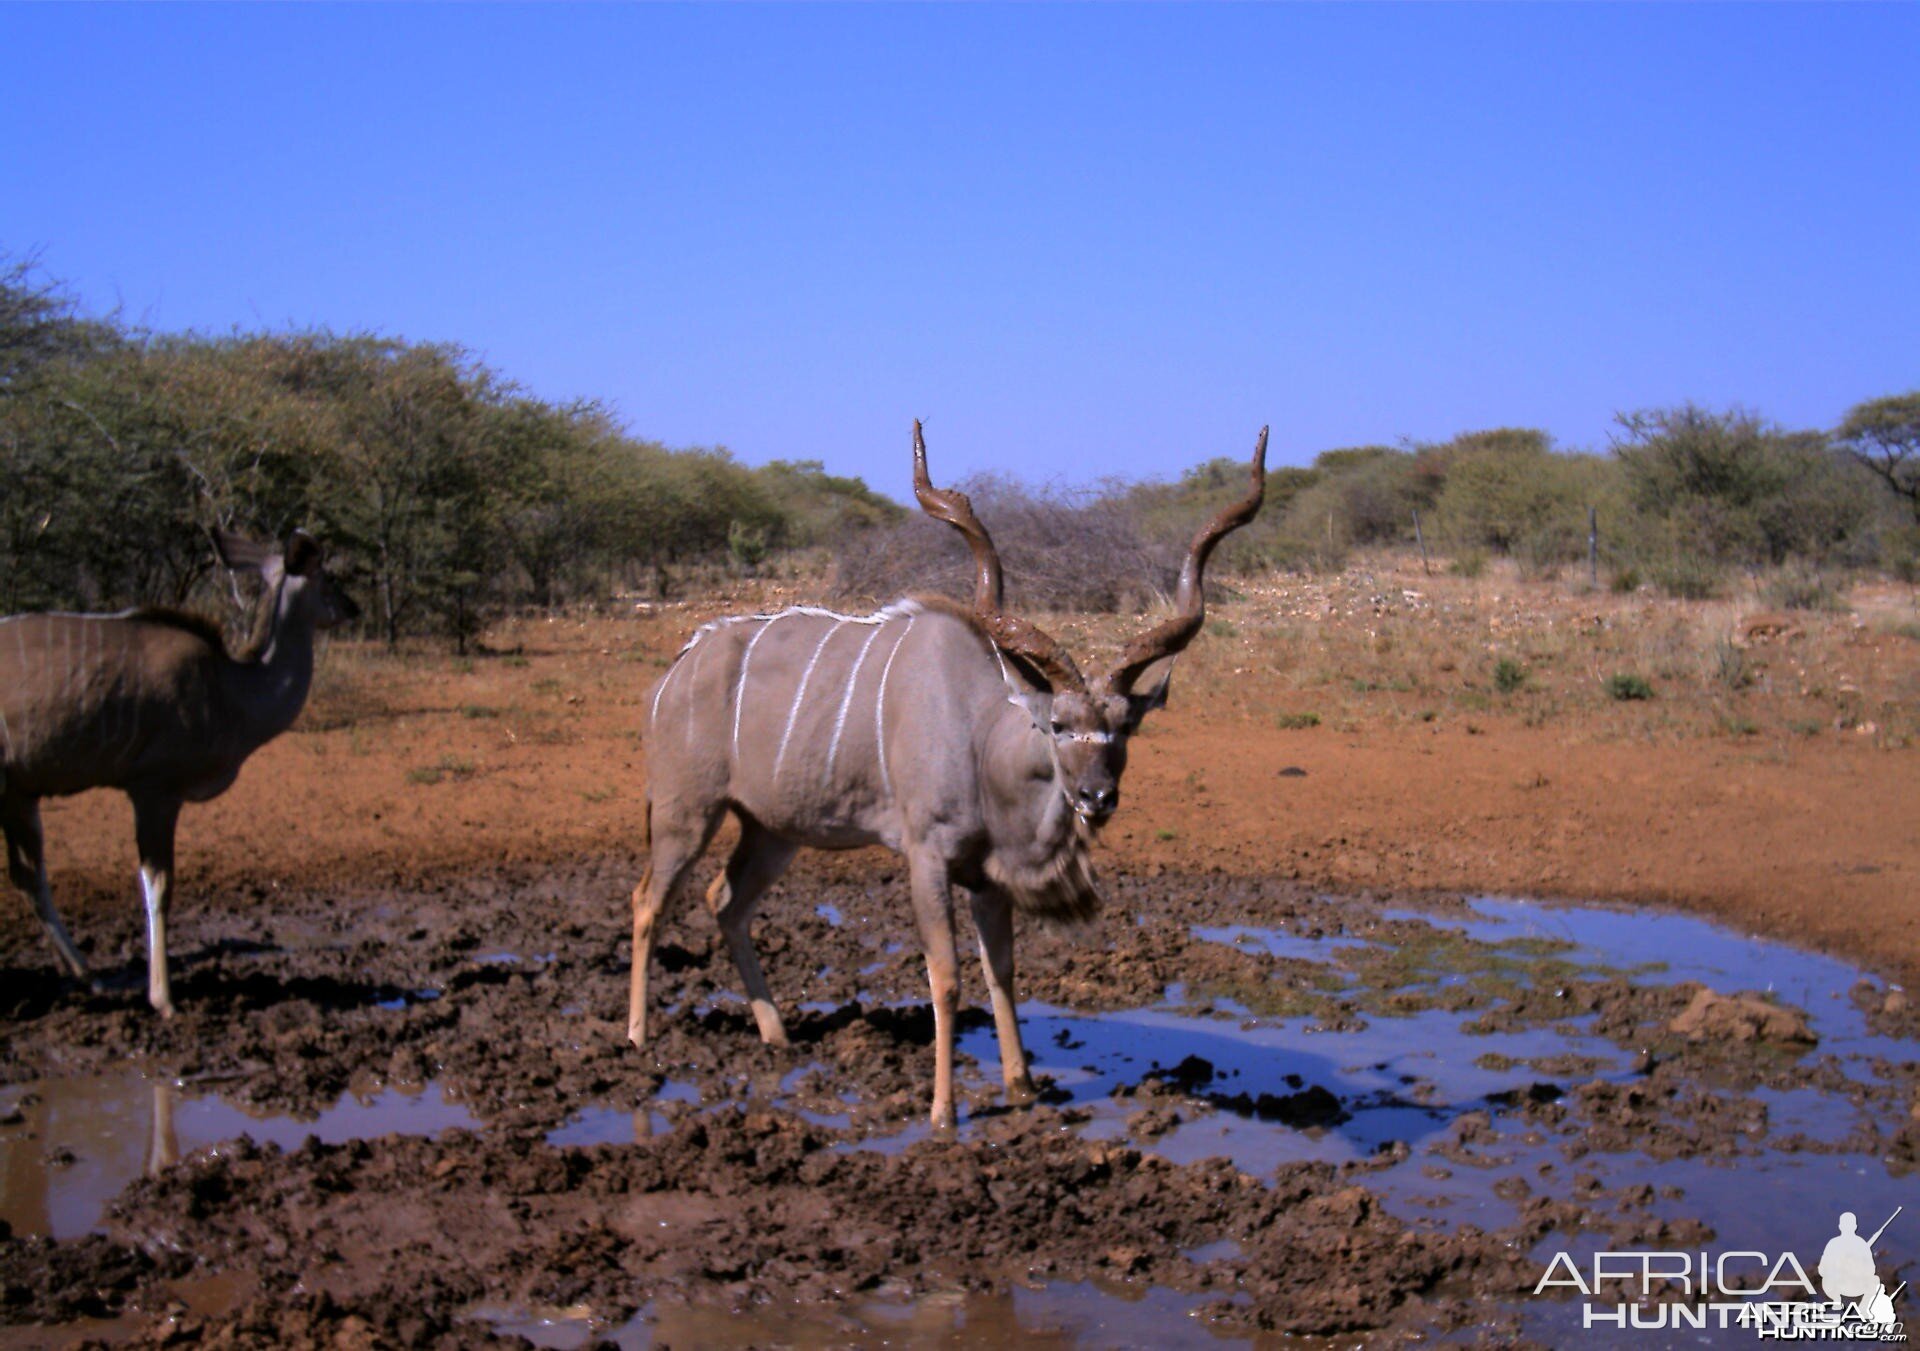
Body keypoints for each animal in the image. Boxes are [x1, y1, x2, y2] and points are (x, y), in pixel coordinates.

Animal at [0, 529, 357, 1013]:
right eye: (328, 578)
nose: (353, 607)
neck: (230, 688)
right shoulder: (155, 790)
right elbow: (158, 885)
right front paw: (163, 998)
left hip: (19, 795)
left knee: (27, 876)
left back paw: (91, 976)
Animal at [625, 424, 1259, 1128]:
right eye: (1058, 725)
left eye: (1125, 728)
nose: (1097, 796)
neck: (980, 733)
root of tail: (676, 669)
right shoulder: (926, 856)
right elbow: (946, 975)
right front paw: (942, 1111)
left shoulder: (987, 877)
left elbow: (1001, 970)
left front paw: (1022, 1087)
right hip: (687, 810)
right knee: (648, 901)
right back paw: (638, 1040)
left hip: (773, 830)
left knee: (725, 901)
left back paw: (777, 1036)